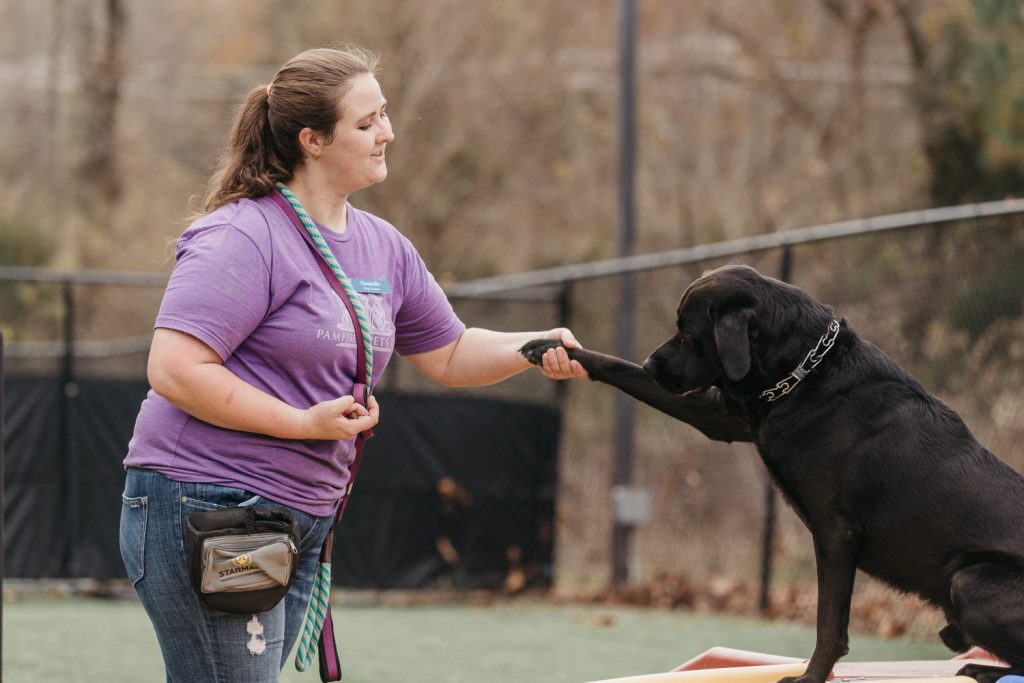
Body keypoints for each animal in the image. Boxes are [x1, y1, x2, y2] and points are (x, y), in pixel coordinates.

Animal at [524, 264, 1024, 683]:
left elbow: (829, 622)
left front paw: (810, 677)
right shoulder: (720, 416)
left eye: (688, 331)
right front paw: (552, 348)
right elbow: (615, 366)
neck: (806, 376)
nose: (651, 362)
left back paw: (982, 668)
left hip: (969, 581)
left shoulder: (834, 531)